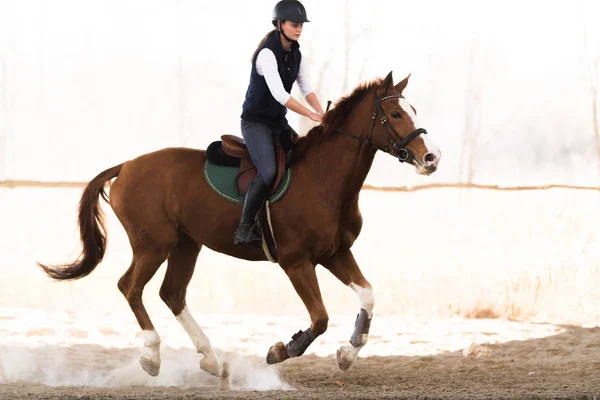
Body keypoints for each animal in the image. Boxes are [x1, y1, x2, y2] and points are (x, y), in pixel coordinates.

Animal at [37, 71, 440, 378]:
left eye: (413, 109)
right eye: (395, 113)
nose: (431, 158)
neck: (324, 180)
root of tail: (126, 166)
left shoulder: (335, 253)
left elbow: (368, 296)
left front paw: (347, 352)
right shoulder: (296, 262)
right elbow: (320, 318)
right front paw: (281, 349)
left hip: (186, 244)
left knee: (172, 294)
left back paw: (211, 360)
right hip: (153, 244)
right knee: (130, 287)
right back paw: (152, 356)